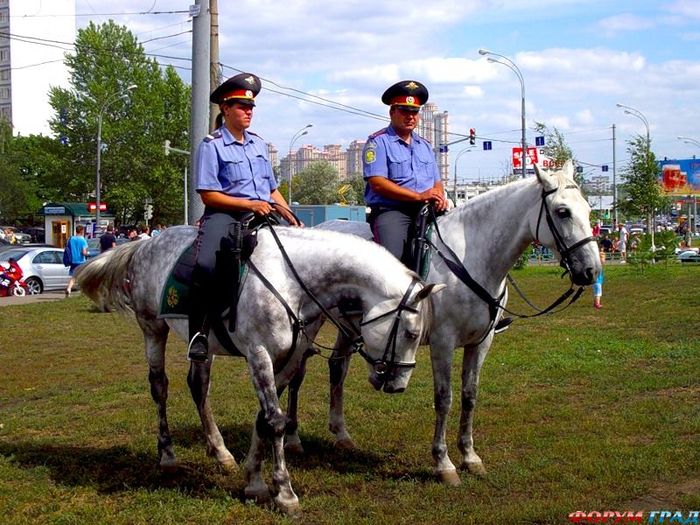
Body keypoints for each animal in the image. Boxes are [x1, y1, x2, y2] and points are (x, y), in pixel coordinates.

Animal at [75, 224, 442, 512]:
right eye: (411, 333)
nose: (398, 383)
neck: (290, 281)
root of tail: (145, 244)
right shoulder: (259, 355)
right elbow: (276, 422)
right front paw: (285, 493)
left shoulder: (287, 359)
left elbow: (264, 420)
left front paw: (253, 480)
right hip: (152, 328)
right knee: (159, 387)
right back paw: (167, 455)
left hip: (203, 346)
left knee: (199, 386)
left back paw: (220, 452)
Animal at [282, 160, 600, 484]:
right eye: (562, 211)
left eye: (589, 210)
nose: (590, 270)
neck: (470, 259)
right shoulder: (443, 342)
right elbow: (444, 398)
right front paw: (443, 463)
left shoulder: (481, 342)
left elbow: (470, 395)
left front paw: (470, 457)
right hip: (311, 324)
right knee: (298, 373)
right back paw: (293, 440)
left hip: (349, 327)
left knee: (338, 368)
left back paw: (342, 435)